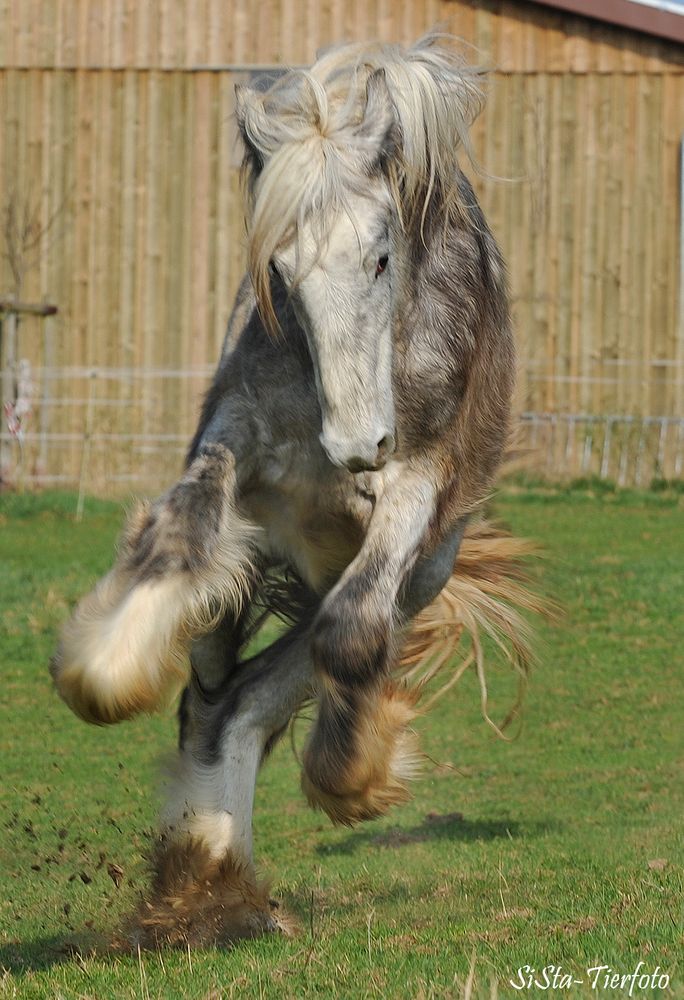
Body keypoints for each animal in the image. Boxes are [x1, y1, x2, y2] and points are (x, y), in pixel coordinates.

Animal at [49, 37, 540, 944]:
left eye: (380, 257)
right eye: (279, 270)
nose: (355, 447)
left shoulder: (415, 482)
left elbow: (350, 636)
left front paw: (354, 777)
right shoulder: (232, 437)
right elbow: (173, 538)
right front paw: (103, 671)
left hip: (417, 573)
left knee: (288, 669)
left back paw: (218, 874)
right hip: (255, 568)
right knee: (214, 689)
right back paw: (205, 873)